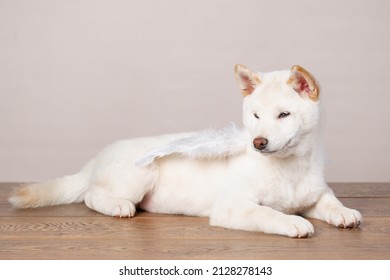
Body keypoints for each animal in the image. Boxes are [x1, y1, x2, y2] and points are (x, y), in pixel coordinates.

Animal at [9, 64, 362, 237]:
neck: (290, 168)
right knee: (91, 196)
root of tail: (97, 157)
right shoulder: (232, 207)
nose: (258, 142)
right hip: (140, 172)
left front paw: (345, 212)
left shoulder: (315, 194)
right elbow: (267, 213)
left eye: (284, 115)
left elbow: (330, 201)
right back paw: (118, 206)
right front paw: (291, 223)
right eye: (255, 116)